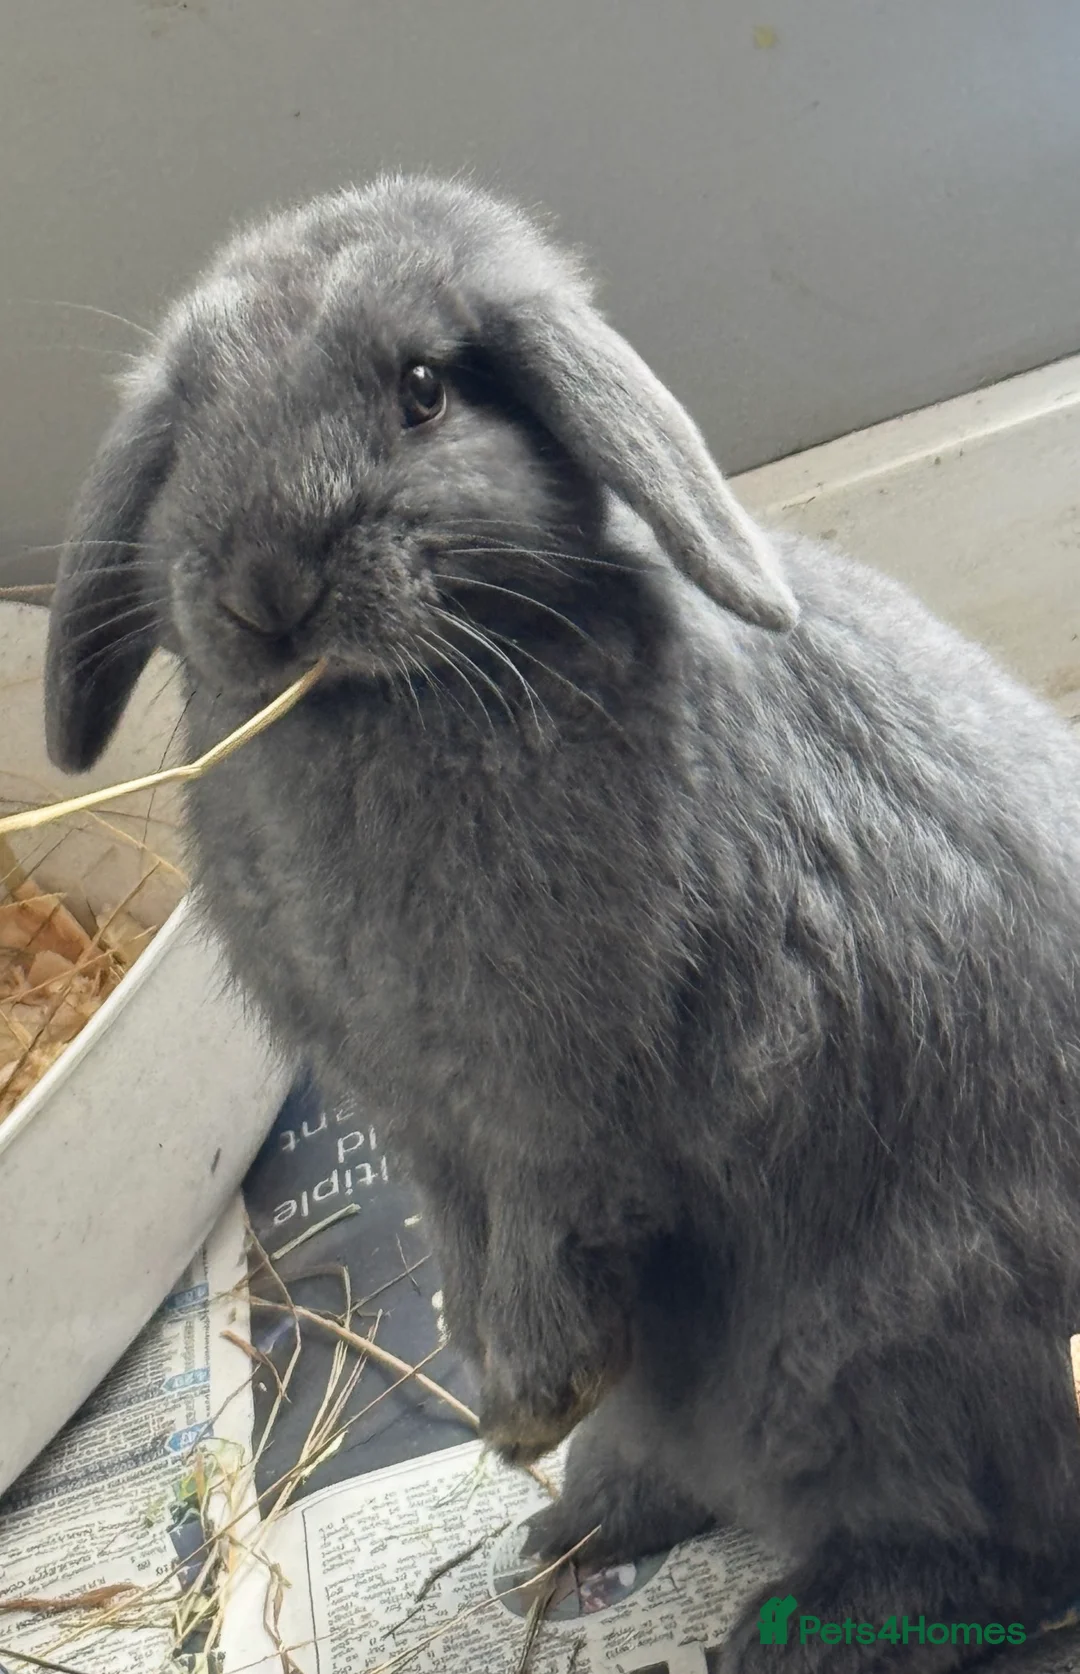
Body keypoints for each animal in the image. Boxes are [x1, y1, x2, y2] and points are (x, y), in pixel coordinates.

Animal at [43, 173, 1080, 1674]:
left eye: (423, 390)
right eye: (186, 428)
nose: (264, 589)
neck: (387, 704)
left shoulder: (561, 1088)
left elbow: (555, 1212)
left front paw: (528, 1397)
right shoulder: (420, 1122)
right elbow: (463, 1235)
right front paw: (502, 1396)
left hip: (879, 1352)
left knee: (1010, 1548)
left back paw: (794, 1626)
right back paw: (576, 1524)